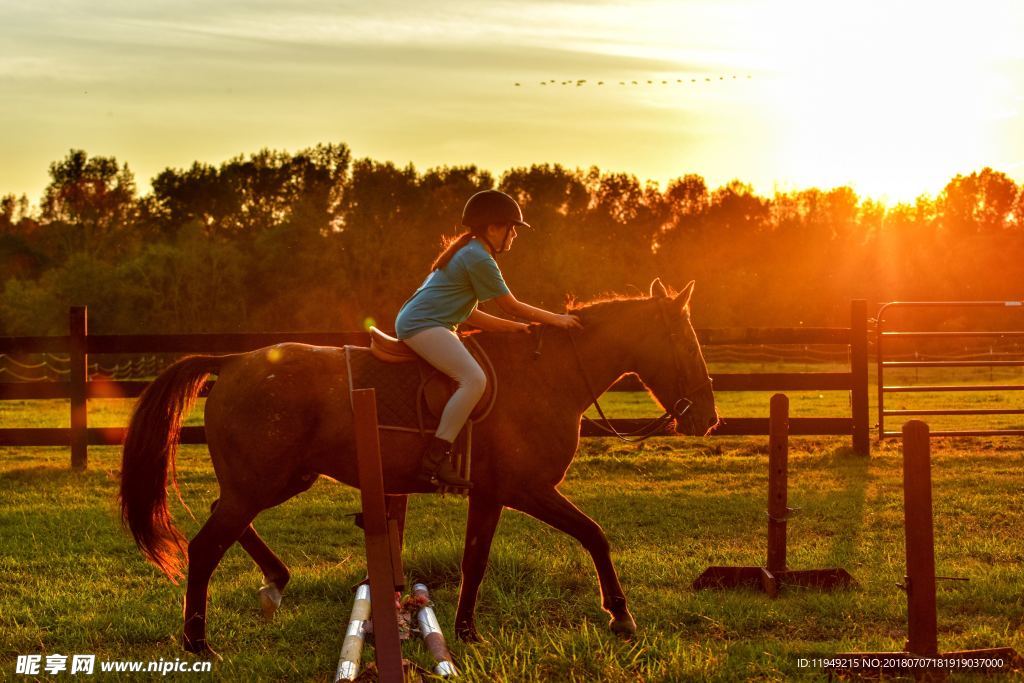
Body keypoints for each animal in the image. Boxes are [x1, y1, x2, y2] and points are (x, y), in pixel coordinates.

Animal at [119, 278, 716, 655]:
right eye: (687, 344)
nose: (708, 418)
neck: (548, 377)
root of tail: (235, 361)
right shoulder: (524, 488)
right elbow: (590, 535)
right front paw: (620, 615)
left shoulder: (494, 492)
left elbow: (479, 559)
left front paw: (467, 631)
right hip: (262, 483)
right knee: (205, 546)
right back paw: (199, 641)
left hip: (274, 480)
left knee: (224, 519)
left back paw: (274, 583)